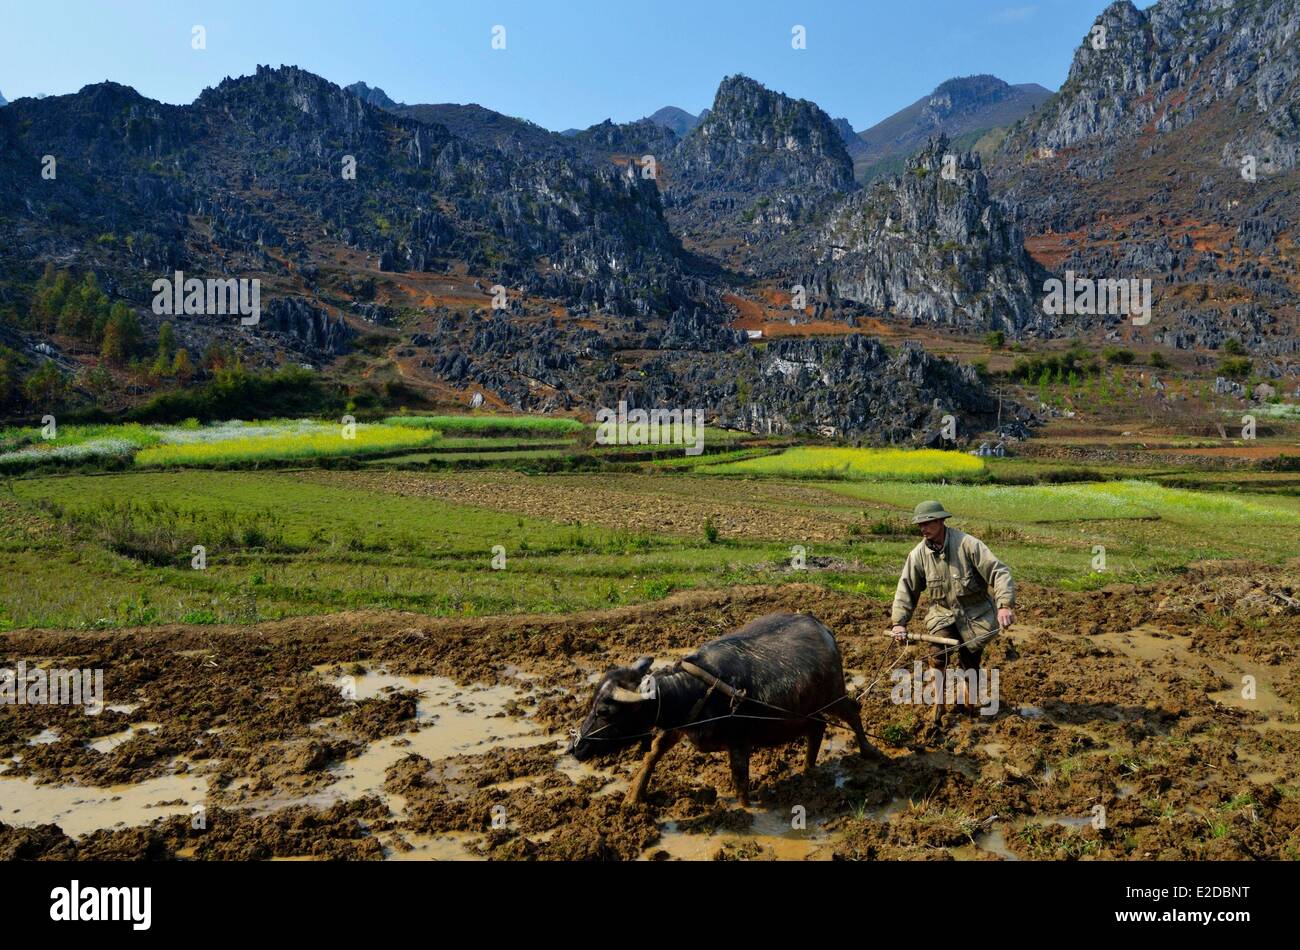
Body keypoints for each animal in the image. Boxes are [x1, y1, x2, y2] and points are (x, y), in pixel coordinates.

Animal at [566, 613, 878, 805]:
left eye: (605, 711)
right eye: (591, 705)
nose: (574, 747)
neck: (692, 691)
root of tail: (823, 629)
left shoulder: (739, 743)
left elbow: (740, 782)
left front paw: (745, 809)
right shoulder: (677, 728)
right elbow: (652, 754)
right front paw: (633, 797)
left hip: (834, 696)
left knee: (852, 710)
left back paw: (869, 751)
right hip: (804, 711)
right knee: (818, 727)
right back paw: (807, 769)